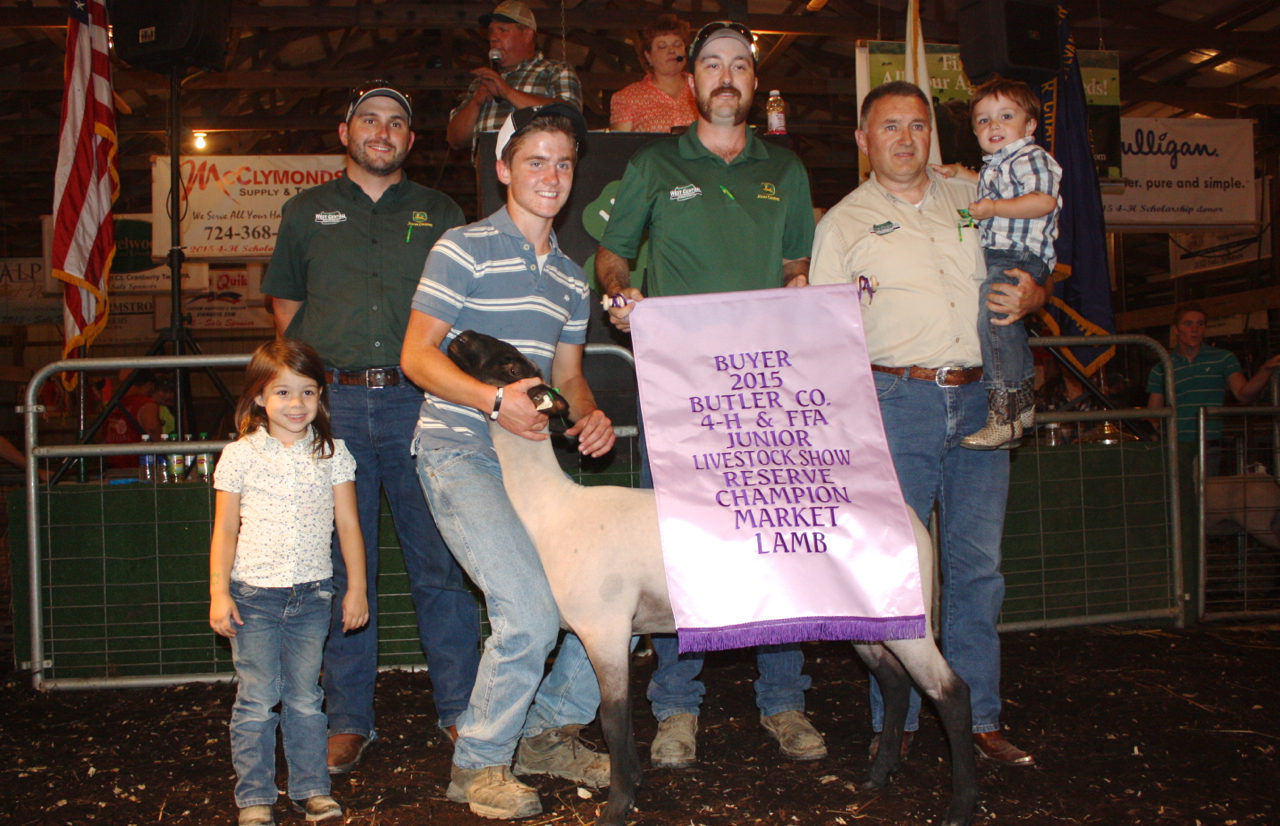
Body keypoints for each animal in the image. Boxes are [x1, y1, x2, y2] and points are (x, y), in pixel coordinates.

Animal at [446, 329, 979, 826]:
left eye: (509, 362)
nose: (461, 336)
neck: (552, 509)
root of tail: (914, 520)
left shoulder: (606, 629)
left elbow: (614, 720)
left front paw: (617, 806)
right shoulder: (606, 629)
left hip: (908, 618)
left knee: (950, 692)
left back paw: (960, 807)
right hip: (867, 618)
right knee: (895, 682)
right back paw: (877, 775)